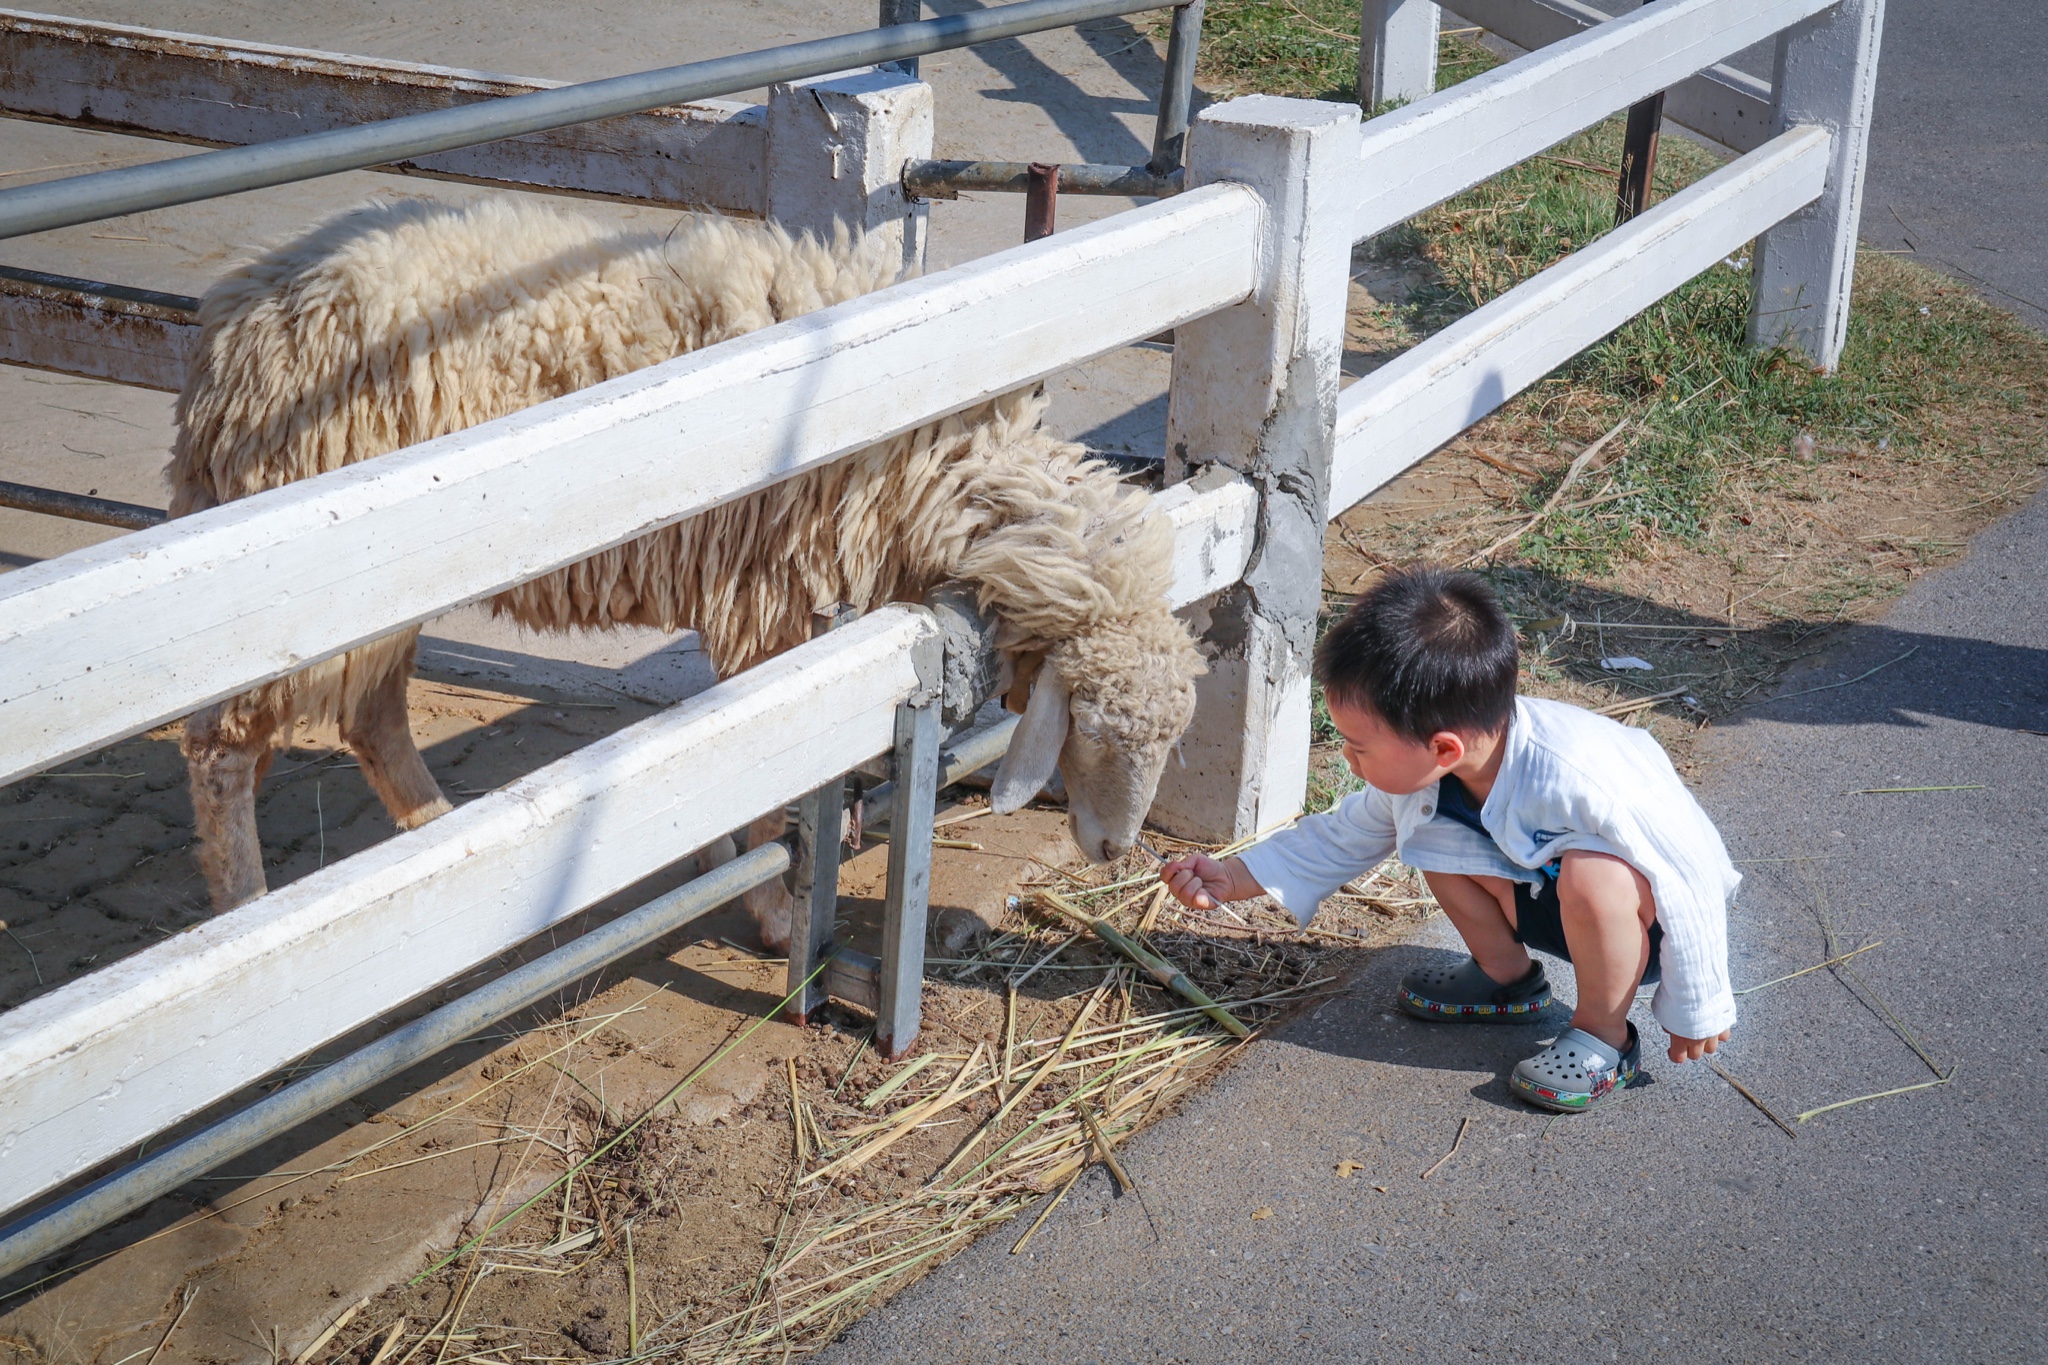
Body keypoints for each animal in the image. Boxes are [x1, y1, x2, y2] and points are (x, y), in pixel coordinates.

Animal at [176, 197, 1204, 949]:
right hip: (293, 598)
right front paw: (778, 910)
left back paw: (440, 838)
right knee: (224, 756)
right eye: (1095, 732)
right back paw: (245, 915)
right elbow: (762, 774)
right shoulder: (773, 607)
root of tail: (233, 323)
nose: (1114, 849)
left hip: (375, 593)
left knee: (370, 717)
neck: (933, 445)